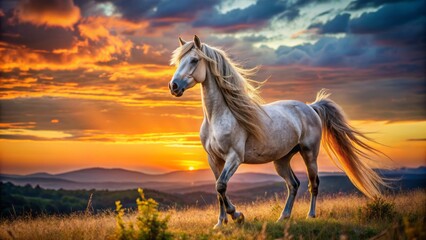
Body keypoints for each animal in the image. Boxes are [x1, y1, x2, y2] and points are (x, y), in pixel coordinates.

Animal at [169, 35, 386, 229]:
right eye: (179, 61)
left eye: (194, 60)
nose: (174, 86)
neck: (219, 116)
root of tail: (310, 107)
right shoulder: (213, 159)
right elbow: (218, 190)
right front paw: (220, 223)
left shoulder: (234, 157)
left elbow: (221, 186)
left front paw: (237, 216)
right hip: (281, 160)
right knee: (294, 184)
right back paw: (283, 217)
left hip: (309, 154)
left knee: (313, 183)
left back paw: (310, 216)